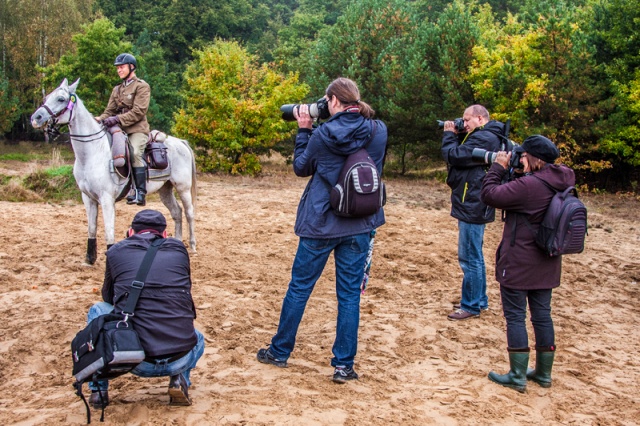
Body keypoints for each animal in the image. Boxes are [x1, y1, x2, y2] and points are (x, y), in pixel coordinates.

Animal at [30, 77, 195, 262]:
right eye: (47, 97)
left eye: (61, 99)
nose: (36, 118)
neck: (92, 152)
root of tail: (180, 142)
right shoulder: (88, 198)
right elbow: (92, 228)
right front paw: (89, 259)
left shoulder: (106, 199)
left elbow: (109, 232)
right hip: (165, 189)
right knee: (177, 212)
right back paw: (178, 241)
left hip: (183, 188)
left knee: (189, 213)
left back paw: (192, 246)